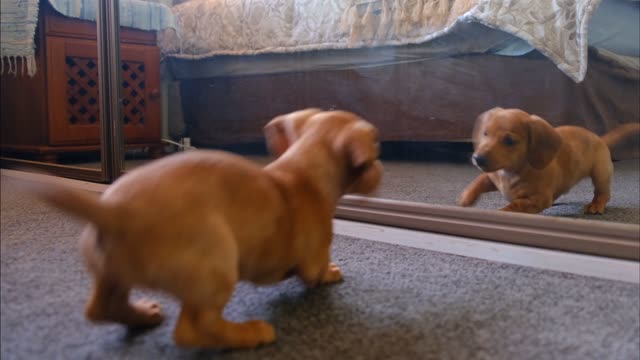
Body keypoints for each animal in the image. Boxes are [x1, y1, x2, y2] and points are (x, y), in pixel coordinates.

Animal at [31, 107, 380, 348]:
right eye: (376, 152)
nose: (379, 173)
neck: (302, 172)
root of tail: (113, 212)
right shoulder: (313, 259)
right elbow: (316, 274)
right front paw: (333, 272)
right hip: (217, 265)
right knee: (193, 330)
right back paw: (248, 333)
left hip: (112, 271)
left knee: (101, 308)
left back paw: (143, 315)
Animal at [460, 107, 640, 214]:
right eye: (485, 133)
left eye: (509, 141)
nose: (478, 159)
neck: (510, 172)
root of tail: (599, 138)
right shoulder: (492, 176)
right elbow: (479, 181)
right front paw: (466, 198)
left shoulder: (538, 199)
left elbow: (515, 204)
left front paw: (502, 212)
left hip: (600, 173)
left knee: (603, 193)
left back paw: (596, 204)